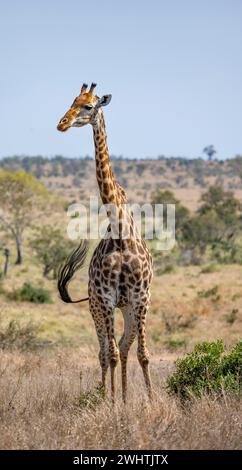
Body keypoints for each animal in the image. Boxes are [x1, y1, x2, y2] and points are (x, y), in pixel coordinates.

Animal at [56, 83, 152, 400]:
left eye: (88, 106)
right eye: (71, 101)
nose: (62, 124)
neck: (121, 233)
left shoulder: (140, 298)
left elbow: (142, 354)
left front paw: (149, 402)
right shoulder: (107, 298)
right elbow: (110, 355)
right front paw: (110, 405)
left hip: (129, 309)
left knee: (123, 346)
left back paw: (123, 396)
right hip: (96, 307)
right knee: (104, 352)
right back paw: (105, 395)